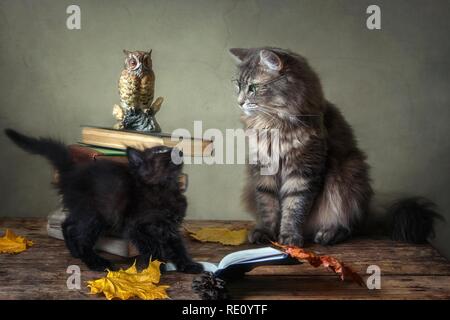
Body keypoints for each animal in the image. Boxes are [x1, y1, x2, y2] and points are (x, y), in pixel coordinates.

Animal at [4, 128, 202, 272]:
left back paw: (75, 252)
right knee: (81, 236)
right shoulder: (136, 226)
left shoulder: (170, 227)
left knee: (67, 225)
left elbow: (178, 247)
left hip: (88, 212)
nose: (179, 150)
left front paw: (188, 265)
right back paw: (96, 262)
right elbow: (152, 246)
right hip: (95, 215)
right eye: (161, 151)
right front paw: (156, 267)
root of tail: (72, 172)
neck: (165, 189)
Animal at [230, 47, 442, 248]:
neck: (272, 123)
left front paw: (289, 237)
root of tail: (368, 213)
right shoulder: (262, 168)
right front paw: (265, 232)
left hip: (348, 176)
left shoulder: (304, 170)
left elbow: (294, 207)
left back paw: (329, 234)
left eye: (253, 87)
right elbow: (267, 206)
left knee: (349, 225)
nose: (239, 102)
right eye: (238, 85)